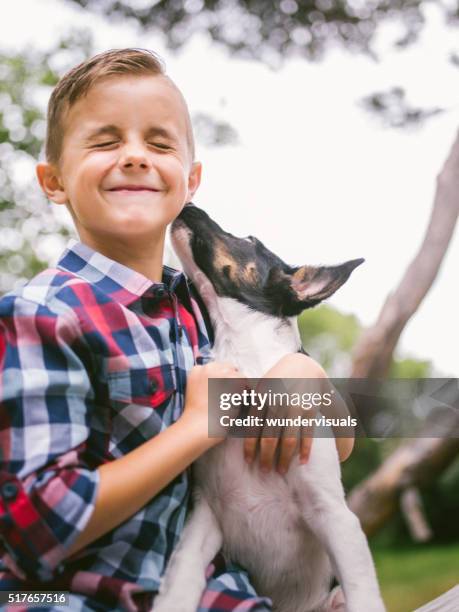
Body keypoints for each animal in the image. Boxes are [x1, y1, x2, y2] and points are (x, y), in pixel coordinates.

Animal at [154, 203, 384, 608]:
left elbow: (363, 592)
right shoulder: (207, 514)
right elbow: (182, 574)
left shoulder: (334, 516)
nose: (189, 205)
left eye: (250, 240)